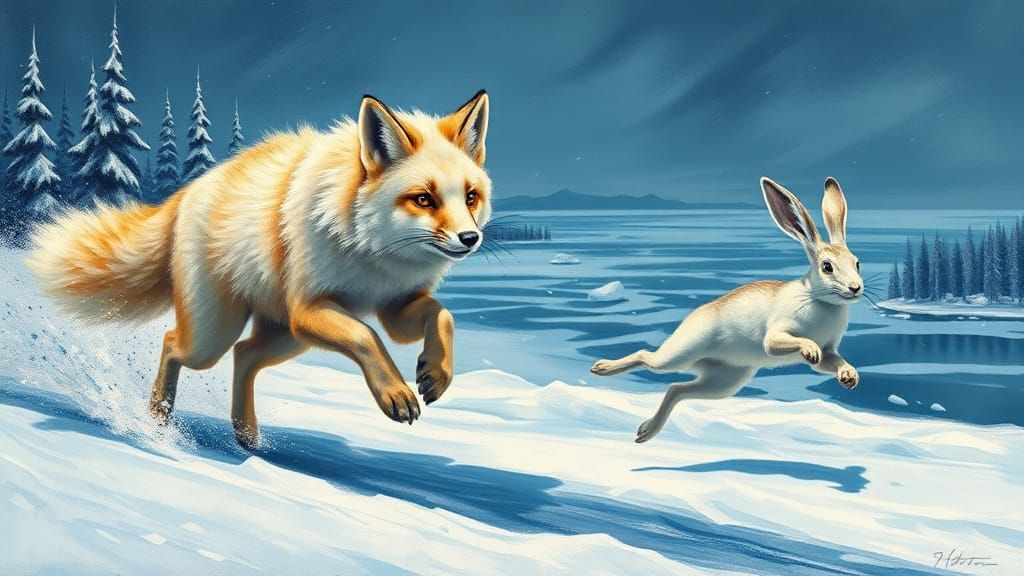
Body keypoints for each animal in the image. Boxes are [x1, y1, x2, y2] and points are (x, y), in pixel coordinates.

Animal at [27, 90, 493, 448]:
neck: (372, 253)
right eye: (424, 199)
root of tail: (188, 192)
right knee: (173, 342)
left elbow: (442, 316)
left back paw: (246, 433)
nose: (470, 238)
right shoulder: (310, 310)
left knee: (244, 354)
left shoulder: (395, 306)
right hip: (222, 336)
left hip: (286, 336)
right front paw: (395, 392)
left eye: (470, 196)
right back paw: (159, 420)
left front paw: (436, 373)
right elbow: (367, 336)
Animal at [591, 176, 863, 443]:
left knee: (676, 389)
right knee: (646, 357)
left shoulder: (830, 351)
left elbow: (830, 362)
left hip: (725, 381)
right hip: (682, 353)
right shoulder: (776, 335)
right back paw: (602, 369)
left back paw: (646, 431)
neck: (819, 299)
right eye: (827, 267)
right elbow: (780, 343)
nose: (856, 288)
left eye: (857, 263)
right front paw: (809, 350)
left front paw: (850, 376)